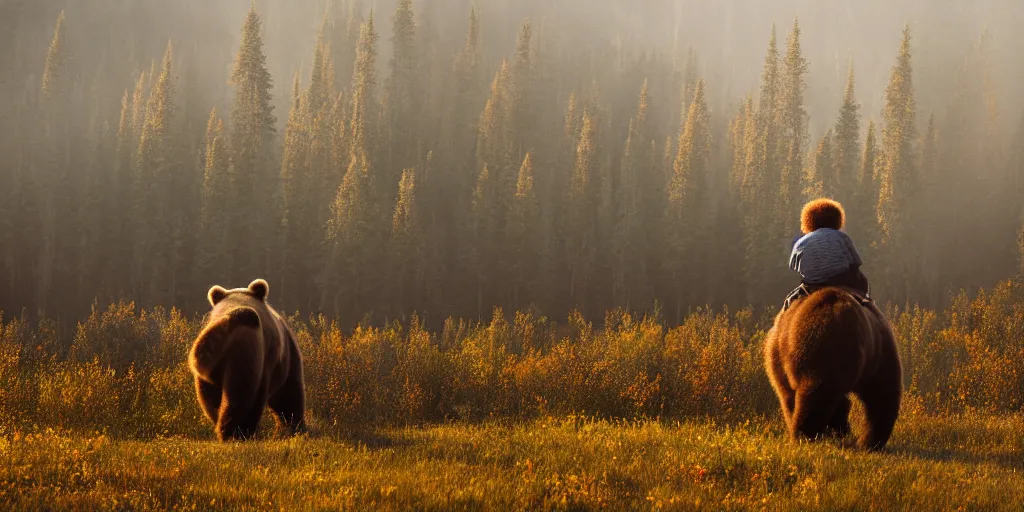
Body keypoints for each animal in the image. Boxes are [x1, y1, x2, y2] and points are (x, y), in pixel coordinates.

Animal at [188, 278, 305, 442]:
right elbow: (289, 393)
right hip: (247, 359)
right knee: (243, 397)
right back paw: (238, 433)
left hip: (209, 368)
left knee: (211, 400)